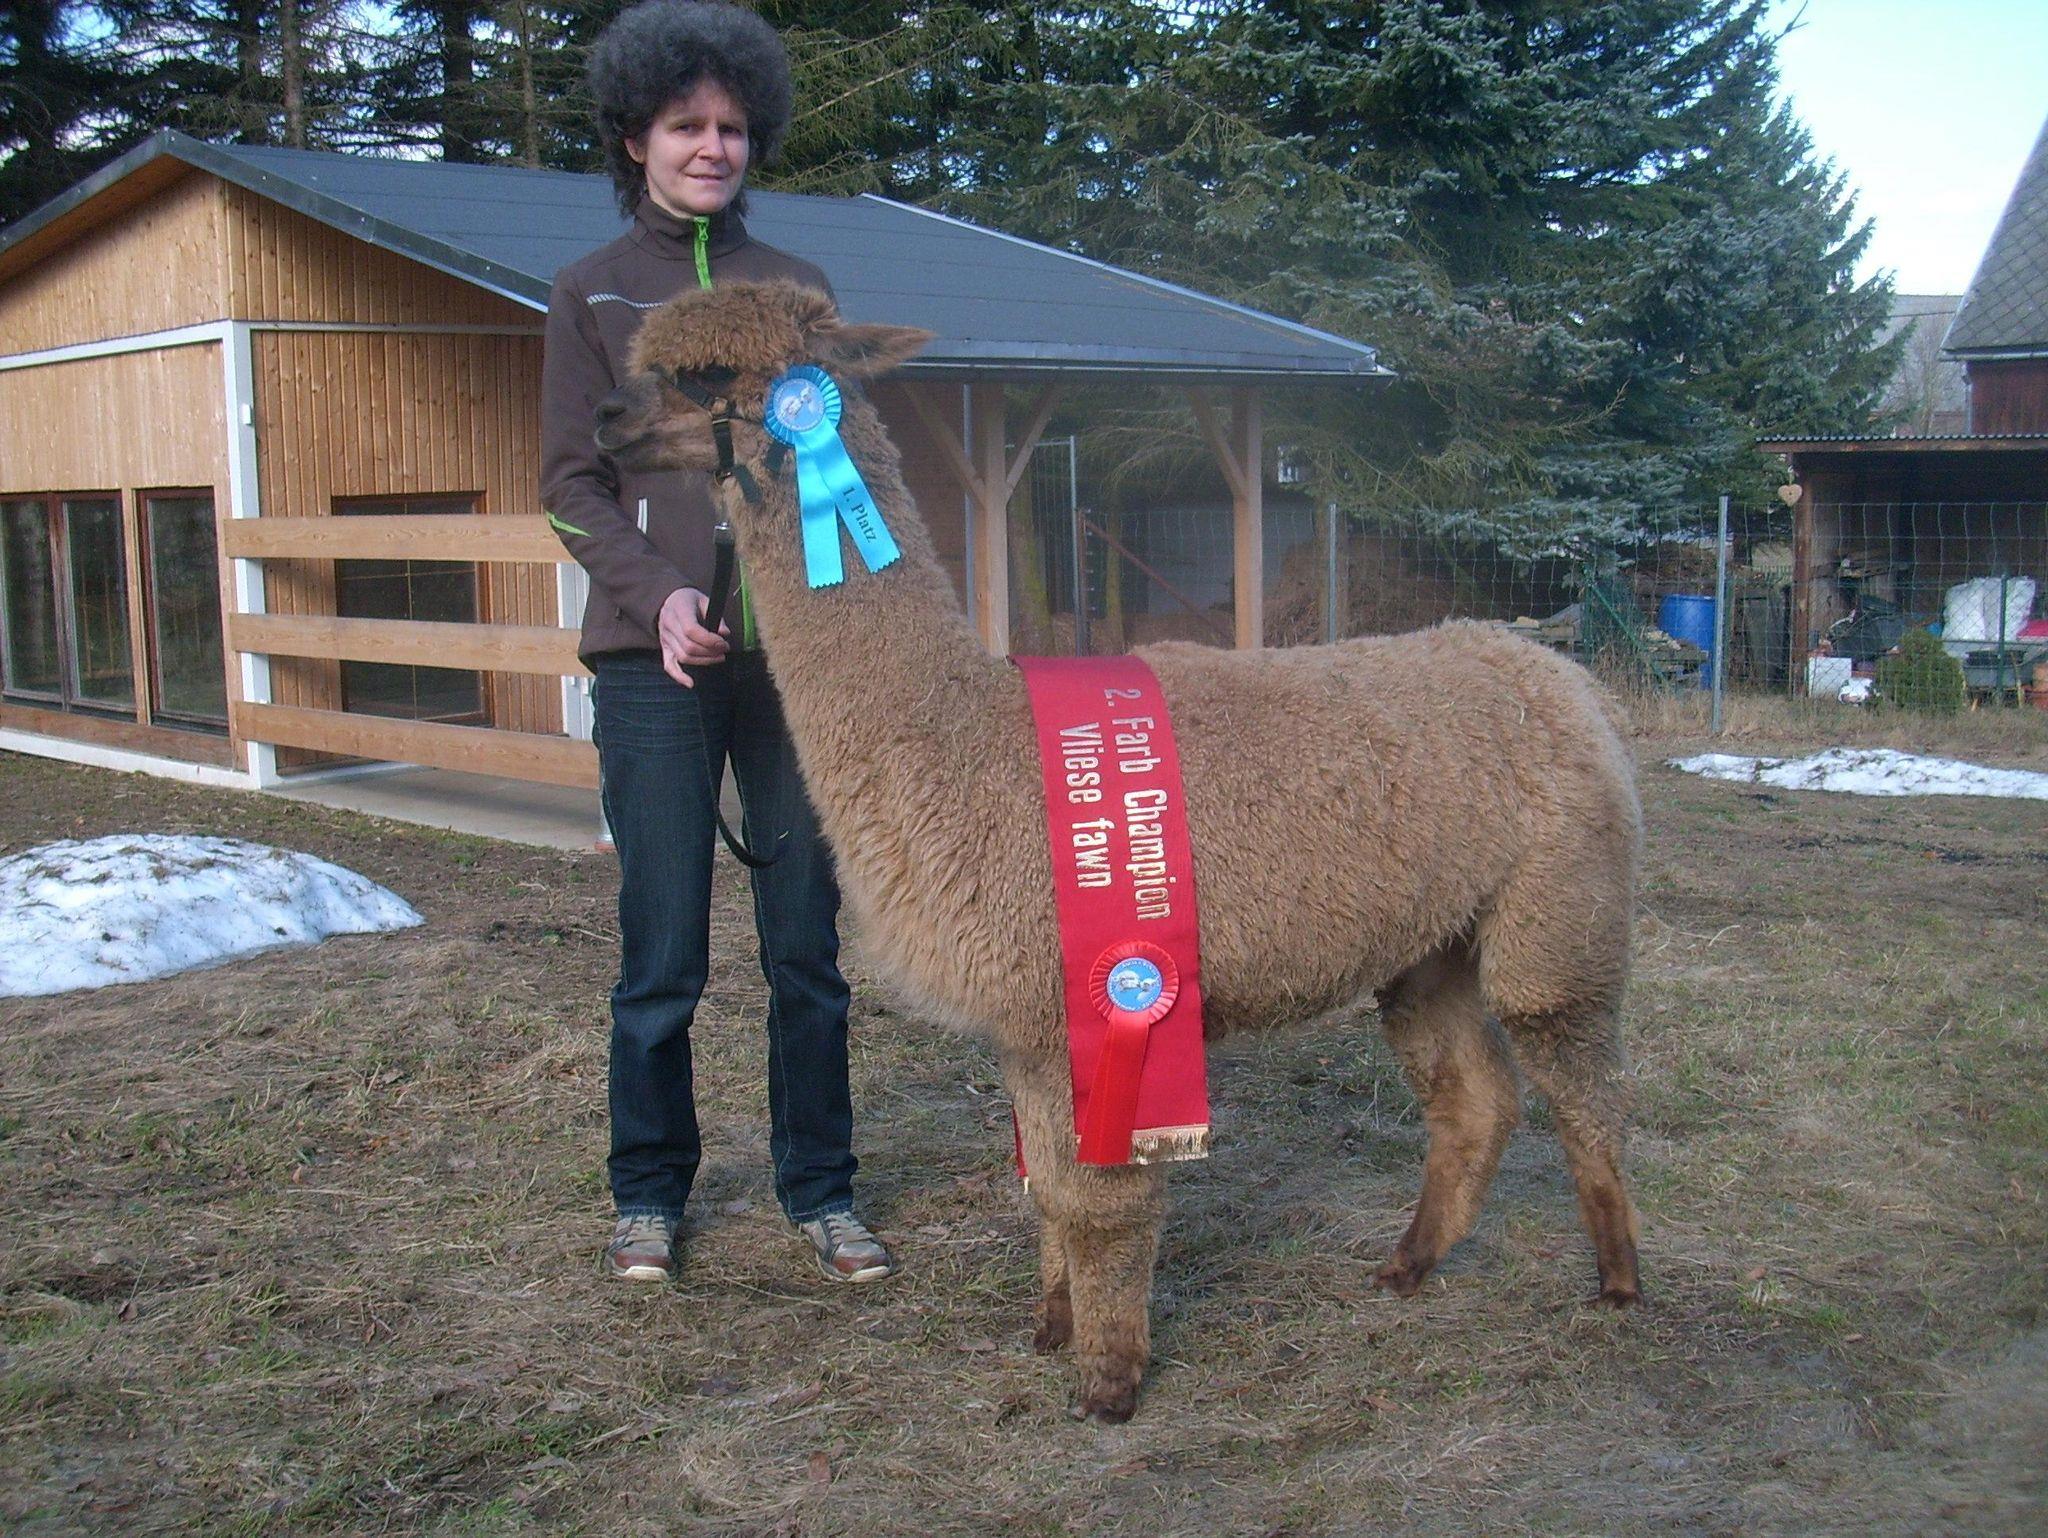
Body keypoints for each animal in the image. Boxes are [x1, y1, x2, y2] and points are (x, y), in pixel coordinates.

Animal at [593, 280, 1644, 1423]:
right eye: (643, 354)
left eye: (708, 374)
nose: (601, 420)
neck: (971, 740)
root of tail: (1559, 675)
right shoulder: (1029, 1022)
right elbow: (1050, 1189)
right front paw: (1053, 1327)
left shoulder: (1088, 1007)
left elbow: (1099, 1201)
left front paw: (1107, 1380)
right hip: (1430, 944)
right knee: (1473, 1101)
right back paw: (1407, 1264)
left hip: (1559, 906)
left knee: (1578, 1080)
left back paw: (1618, 1280)